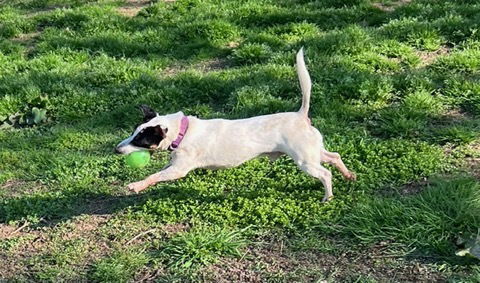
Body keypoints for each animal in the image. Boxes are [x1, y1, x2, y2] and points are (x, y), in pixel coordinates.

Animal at [116, 48, 356, 202]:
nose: (116, 149)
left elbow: (154, 176)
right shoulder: (173, 164)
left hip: (305, 161)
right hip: (313, 152)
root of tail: (301, 115)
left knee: (325, 174)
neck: (183, 131)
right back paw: (348, 175)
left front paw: (136, 185)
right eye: (133, 132)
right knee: (334, 156)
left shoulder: (178, 170)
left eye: (141, 140)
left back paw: (328, 197)